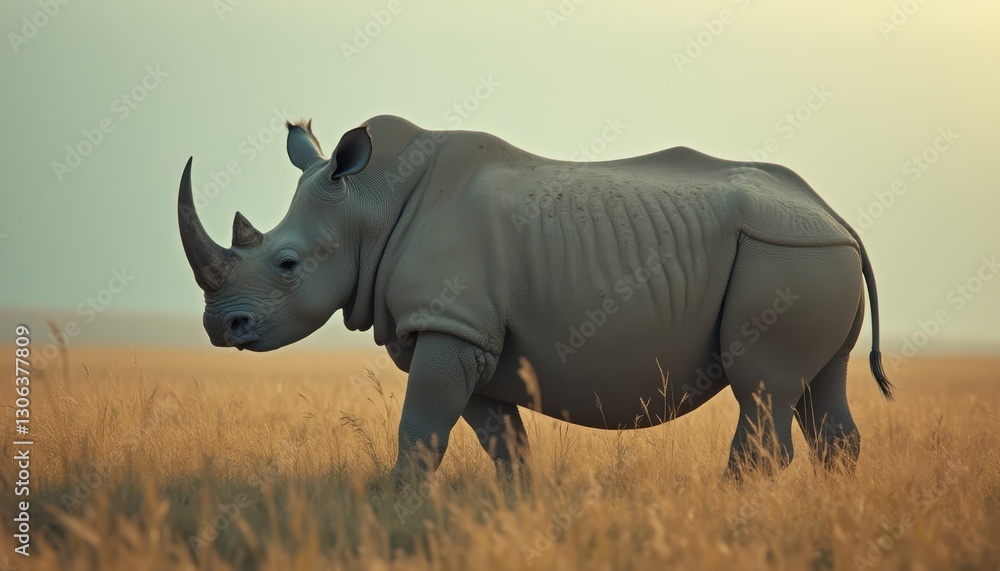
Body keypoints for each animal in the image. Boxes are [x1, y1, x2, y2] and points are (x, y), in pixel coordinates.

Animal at [177, 115, 893, 478]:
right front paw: (512, 520)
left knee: (762, 385)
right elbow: (503, 445)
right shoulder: (470, 336)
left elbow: (420, 434)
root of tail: (837, 219)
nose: (220, 328)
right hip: (809, 256)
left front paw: (397, 515)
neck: (369, 205)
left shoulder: (451, 325)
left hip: (783, 255)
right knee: (819, 391)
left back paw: (731, 506)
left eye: (287, 263)